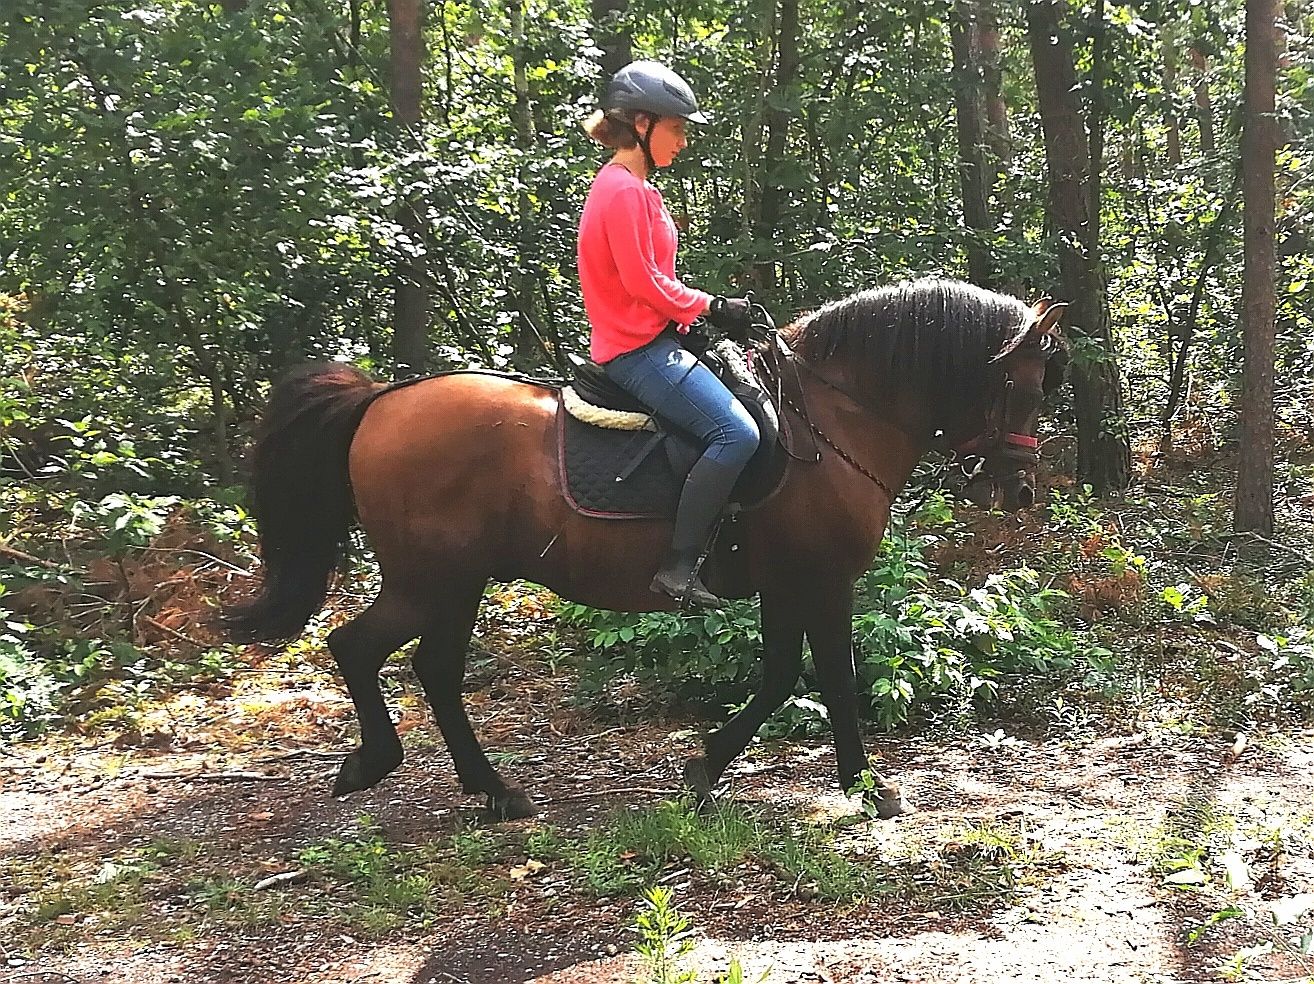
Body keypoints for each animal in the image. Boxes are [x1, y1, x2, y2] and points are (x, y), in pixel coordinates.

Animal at [226, 275, 1066, 819]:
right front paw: (867, 786)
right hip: (431, 580)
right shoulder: (823, 580)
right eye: (1026, 389)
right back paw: (382, 764)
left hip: (454, 584)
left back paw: (491, 789)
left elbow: (778, 675)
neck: (831, 419)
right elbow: (830, 674)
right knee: (358, 648)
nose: (1022, 490)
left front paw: (704, 767)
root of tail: (380, 400)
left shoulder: (785, 584)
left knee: (427, 668)